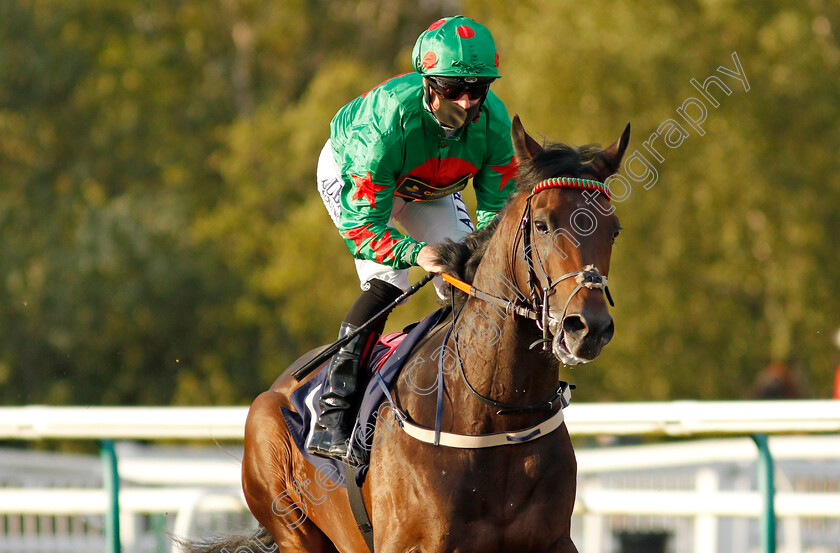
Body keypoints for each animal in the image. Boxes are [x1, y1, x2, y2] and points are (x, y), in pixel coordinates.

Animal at [184, 116, 632, 552]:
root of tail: (275, 389)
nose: (588, 327)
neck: (494, 413)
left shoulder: (553, 540)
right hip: (295, 531)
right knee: (382, 283)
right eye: (541, 224)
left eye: (613, 229)